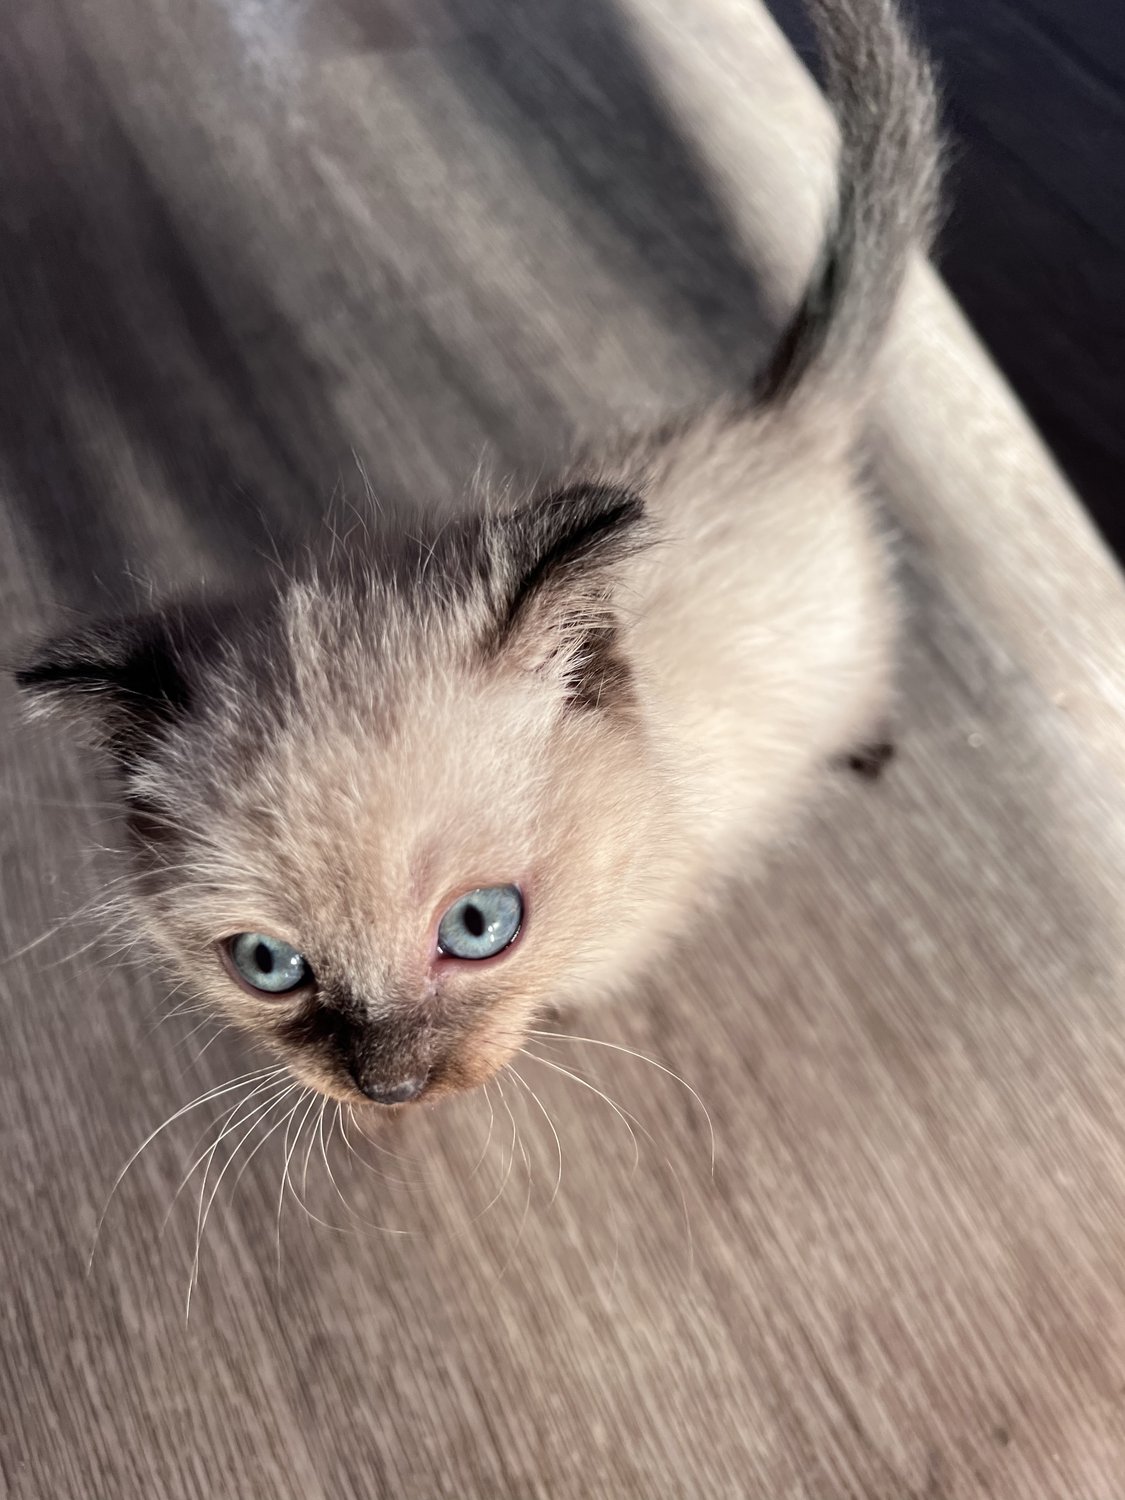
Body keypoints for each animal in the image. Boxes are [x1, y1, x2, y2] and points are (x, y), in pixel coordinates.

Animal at [17, 0, 939, 1108]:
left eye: (479, 926)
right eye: (269, 965)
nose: (389, 1089)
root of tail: (778, 413)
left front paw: (561, 1008)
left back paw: (870, 748)